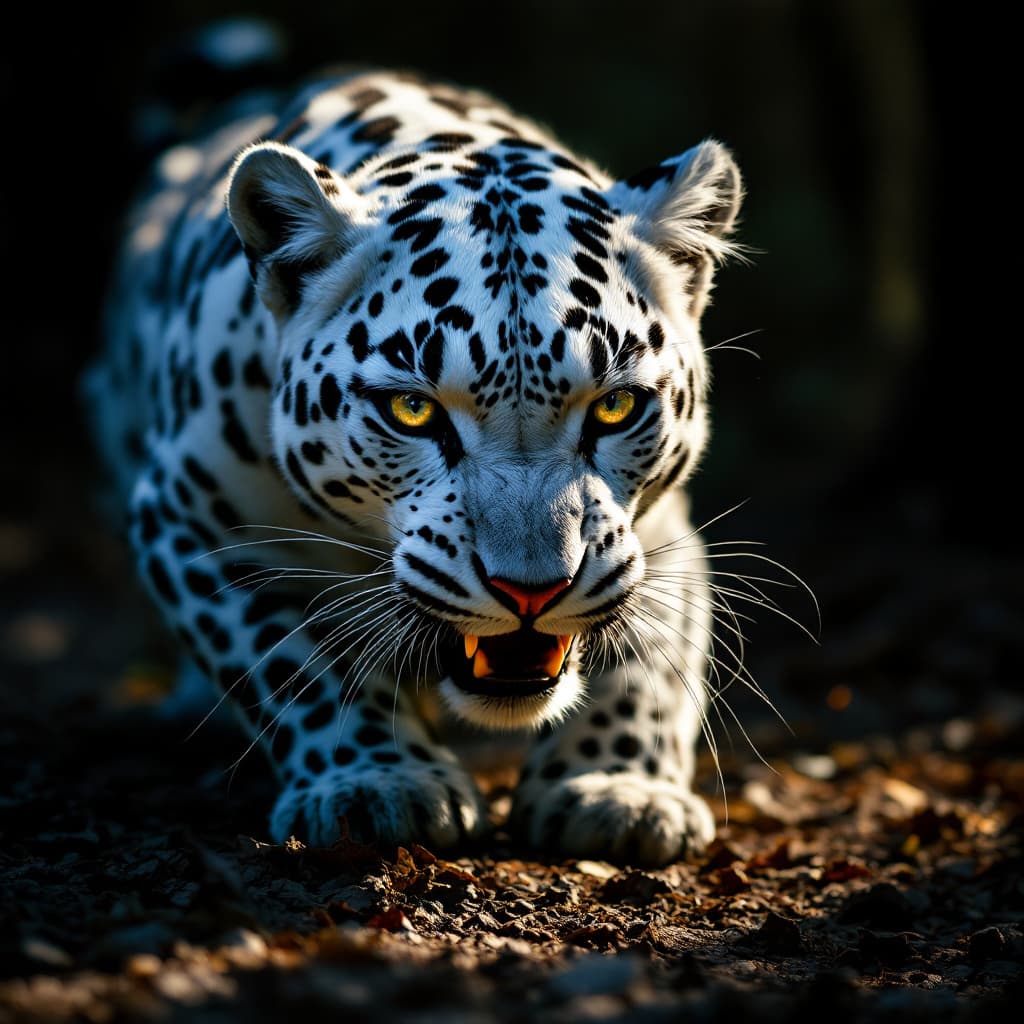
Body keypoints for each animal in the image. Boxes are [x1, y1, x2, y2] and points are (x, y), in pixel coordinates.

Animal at [84, 69, 746, 867]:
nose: (532, 592)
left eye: (616, 407)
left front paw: (617, 790)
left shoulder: (657, 531)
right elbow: (296, 663)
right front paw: (378, 783)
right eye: (412, 411)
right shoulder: (194, 521)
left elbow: (650, 662)